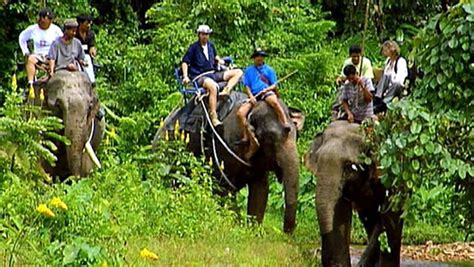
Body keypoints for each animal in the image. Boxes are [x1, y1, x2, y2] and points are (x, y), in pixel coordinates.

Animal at [154, 92, 306, 234]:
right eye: (271, 139)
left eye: (296, 136)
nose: (286, 231)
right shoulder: (222, 148)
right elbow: (223, 190)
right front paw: (237, 227)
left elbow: (261, 190)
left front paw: (253, 231)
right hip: (167, 156)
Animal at [304, 121, 404, 267]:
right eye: (317, 161)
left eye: (348, 165)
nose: (318, 252)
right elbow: (339, 212)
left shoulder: (390, 172)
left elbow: (391, 212)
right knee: (370, 218)